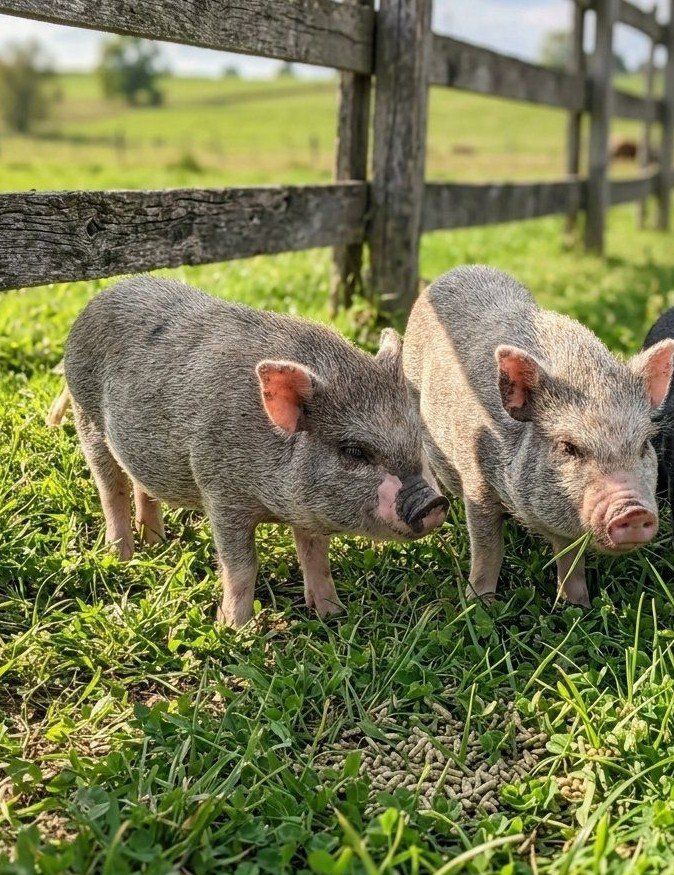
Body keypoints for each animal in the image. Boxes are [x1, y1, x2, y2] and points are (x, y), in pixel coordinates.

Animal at [55, 276, 448, 628]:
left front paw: (333, 615)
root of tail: (97, 300)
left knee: (141, 485)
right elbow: (241, 566)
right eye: (354, 451)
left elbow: (315, 556)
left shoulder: (307, 510)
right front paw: (235, 630)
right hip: (86, 417)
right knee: (111, 489)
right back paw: (121, 557)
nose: (432, 502)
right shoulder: (220, 492)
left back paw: (156, 544)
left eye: (418, 436)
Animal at [403, 265, 674, 607]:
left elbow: (570, 560)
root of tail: (456, 271)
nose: (634, 510)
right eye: (568, 447)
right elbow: (488, 548)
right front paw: (480, 605)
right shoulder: (477, 482)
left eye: (643, 445)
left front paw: (576, 606)